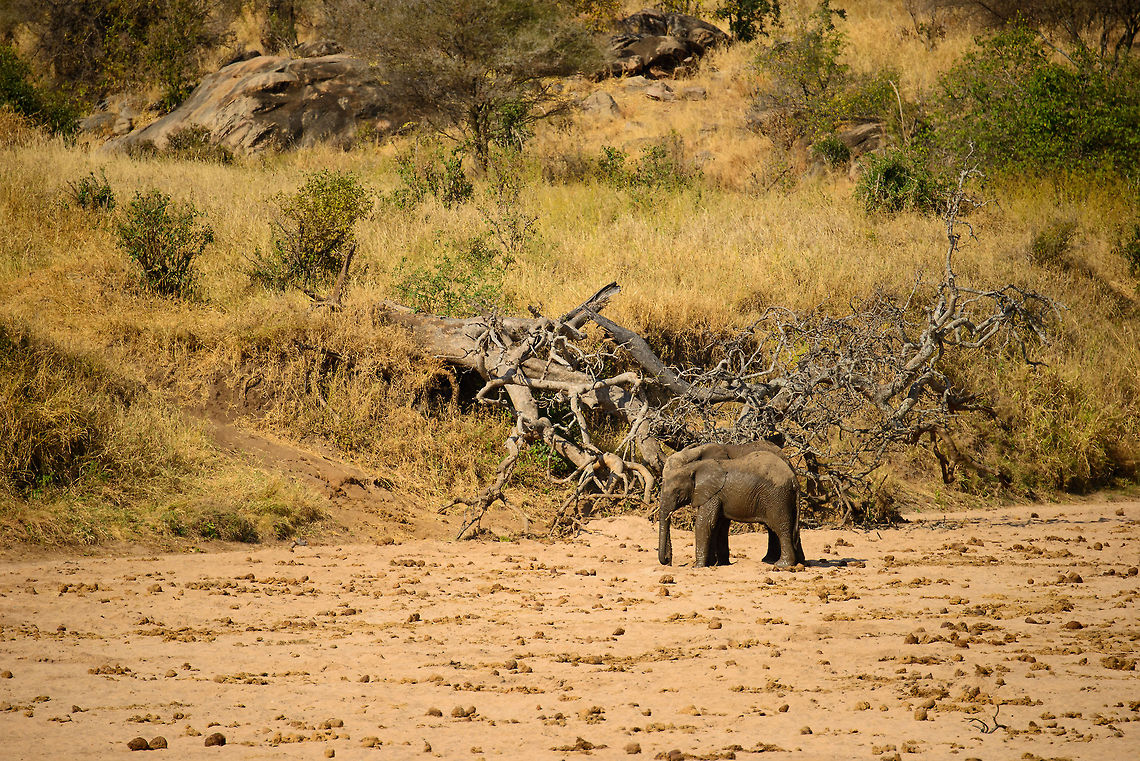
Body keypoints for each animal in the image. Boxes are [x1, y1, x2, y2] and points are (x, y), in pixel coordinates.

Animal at [658, 447, 804, 568]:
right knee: (790, 528)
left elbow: (704, 524)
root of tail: (794, 480)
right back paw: (798, 563)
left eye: (677, 492)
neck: (692, 467)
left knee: (781, 528)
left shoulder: (713, 494)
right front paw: (715, 564)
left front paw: (698, 567)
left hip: (776, 497)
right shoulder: (719, 496)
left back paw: (781, 565)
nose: (668, 560)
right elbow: (717, 525)